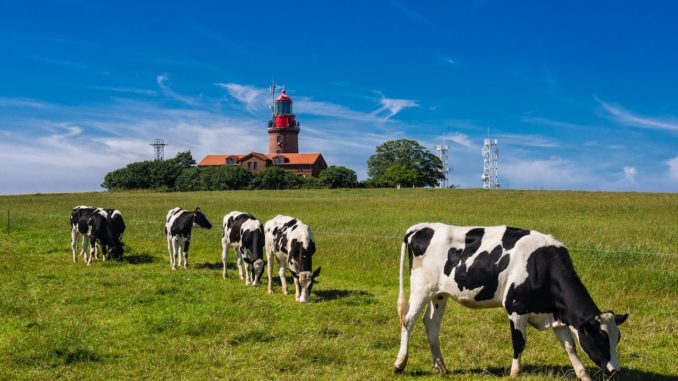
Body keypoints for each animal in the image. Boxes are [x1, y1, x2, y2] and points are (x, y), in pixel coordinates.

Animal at [396, 223, 628, 378]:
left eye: (617, 338)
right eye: (600, 338)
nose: (615, 370)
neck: (542, 265)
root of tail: (423, 227)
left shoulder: (556, 315)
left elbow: (570, 346)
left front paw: (583, 374)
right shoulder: (516, 309)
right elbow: (519, 343)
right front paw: (515, 373)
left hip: (439, 294)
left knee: (431, 324)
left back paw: (441, 367)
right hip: (421, 287)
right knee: (408, 320)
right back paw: (400, 363)